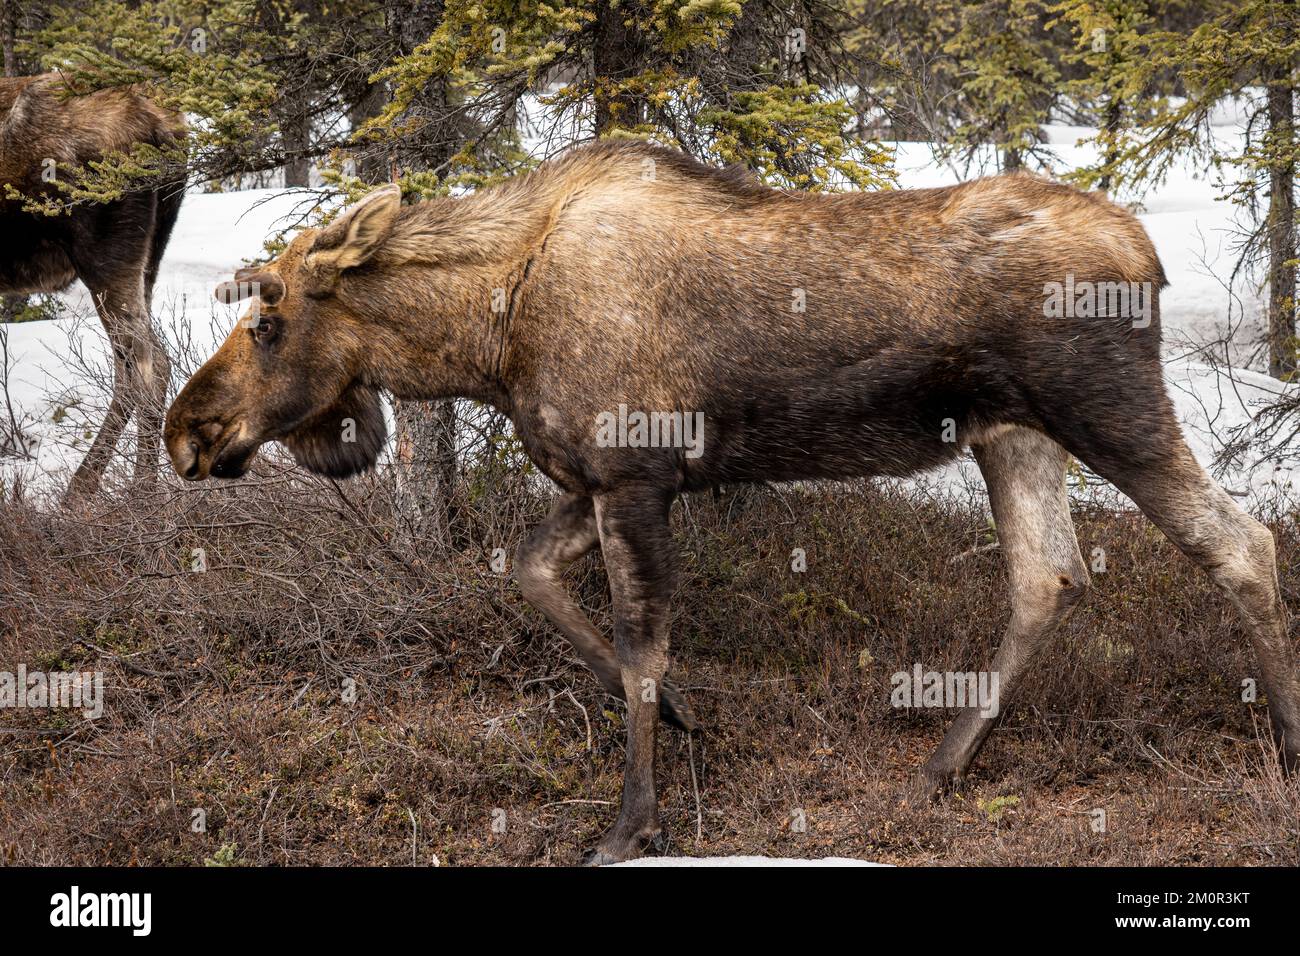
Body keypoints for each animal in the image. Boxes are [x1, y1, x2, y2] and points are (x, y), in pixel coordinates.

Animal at [0, 70, 184, 496]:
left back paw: (135, 494)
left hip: (103, 257)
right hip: (148, 257)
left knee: (148, 366)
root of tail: (164, 129)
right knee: (133, 367)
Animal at [167, 141, 1300, 868]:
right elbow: (533, 573)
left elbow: (638, 643)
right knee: (1046, 574)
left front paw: (634, 820)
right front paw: (684, 716)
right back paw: (940, 765)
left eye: (268, 320)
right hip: (1009, 431)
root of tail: (1150, 256)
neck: (486, 336)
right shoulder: (605, 478)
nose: (187, 429)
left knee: (1239, 540)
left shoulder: (632, 477)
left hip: (1109, 407)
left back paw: (1283, 739)